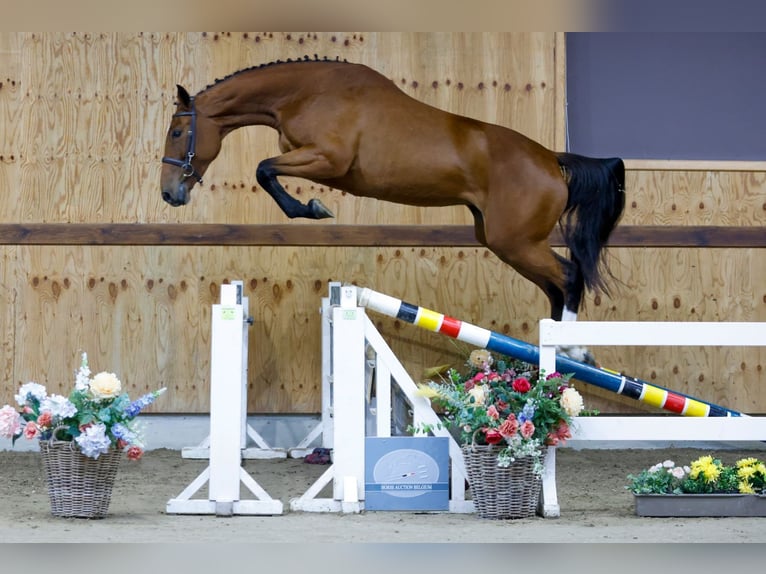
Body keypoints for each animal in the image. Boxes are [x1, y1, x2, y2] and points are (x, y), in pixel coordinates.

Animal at [160, 58, 624, 364]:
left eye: (178, 132)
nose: (169, 194)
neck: (308, 92)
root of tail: (553, 161)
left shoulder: (327, 160)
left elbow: (263, 170)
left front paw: (312, 208)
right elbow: (266, 170)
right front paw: (310, 207)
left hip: (516, 242)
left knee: (570, 276)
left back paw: (574, 349)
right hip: (505, 242)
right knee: (557, 286)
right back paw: (562, 352)